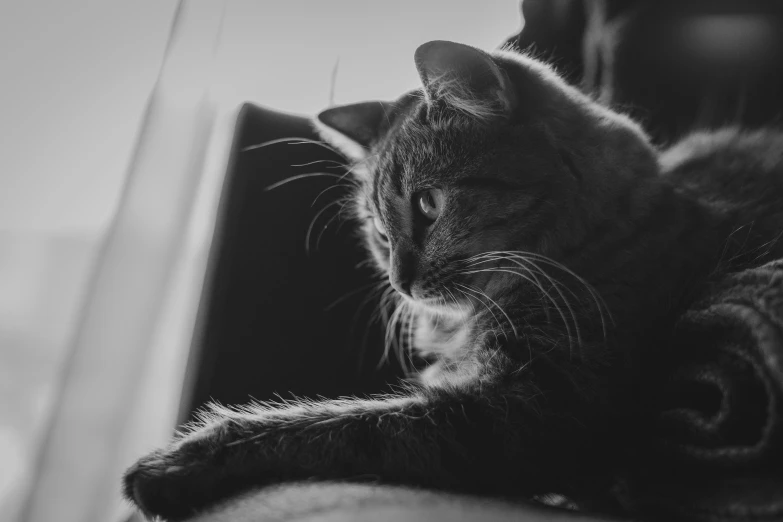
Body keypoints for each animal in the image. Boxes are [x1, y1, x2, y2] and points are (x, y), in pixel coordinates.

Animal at [122, 38, 783, 516]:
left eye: (428, 205)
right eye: (379, 231)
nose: (400, 281)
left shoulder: (524, 413)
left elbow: (334, 425)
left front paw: (180, 462)